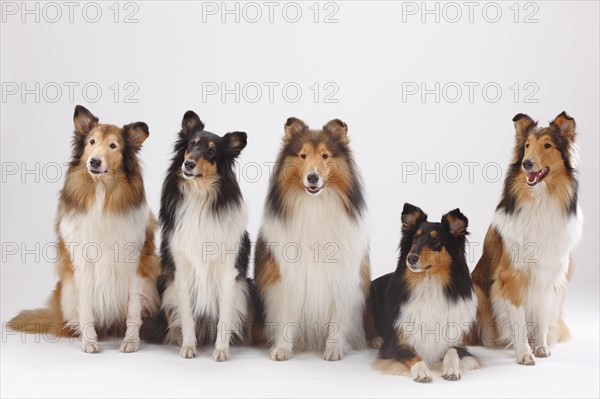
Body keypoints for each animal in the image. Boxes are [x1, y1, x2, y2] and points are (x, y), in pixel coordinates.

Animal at [7, 105, 159, 354]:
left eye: (113, 145)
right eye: (91, 142)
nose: (94, 162)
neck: (101, 194)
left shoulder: (134, 264)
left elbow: (133, 310)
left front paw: (130, 341)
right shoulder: (82, 262)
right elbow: (86, 307)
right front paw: (89, 341)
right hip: (65, 292)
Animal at [155, 110, 251, 362]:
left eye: (211, 151)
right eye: (191, 144)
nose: (188, 164)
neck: (200, 195)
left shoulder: (228, 273)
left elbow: (224, 318)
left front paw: (221, 350)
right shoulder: (181, 270)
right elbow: (187, 316)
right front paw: (188, 347)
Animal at [252, 116, 370, 362]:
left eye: (325, 155)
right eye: (303, 155)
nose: (312, 177)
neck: (315, 205)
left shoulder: (341, 276)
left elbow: (337, 318)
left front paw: (334, 349)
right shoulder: (287, 277)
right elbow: (286, 317)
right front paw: (282, 349)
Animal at [370, 205, 478, 382]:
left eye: (436, 240)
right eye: (415, 238)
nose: (411, 258)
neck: (429, 283)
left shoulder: (457, 342)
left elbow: (452, 351)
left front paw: (451, 369)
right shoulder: (395, 344)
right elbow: (412, 355)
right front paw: (422, 371)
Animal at [472, 111, 584, 366]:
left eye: (547, 145)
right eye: (527, 146)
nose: (527, 163)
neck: (540, 200)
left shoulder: (548, 278)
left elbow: (541, 317)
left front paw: (540, 347)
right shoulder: (512, 277)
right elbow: (519, 320)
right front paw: (524, 352)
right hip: (478, 290)